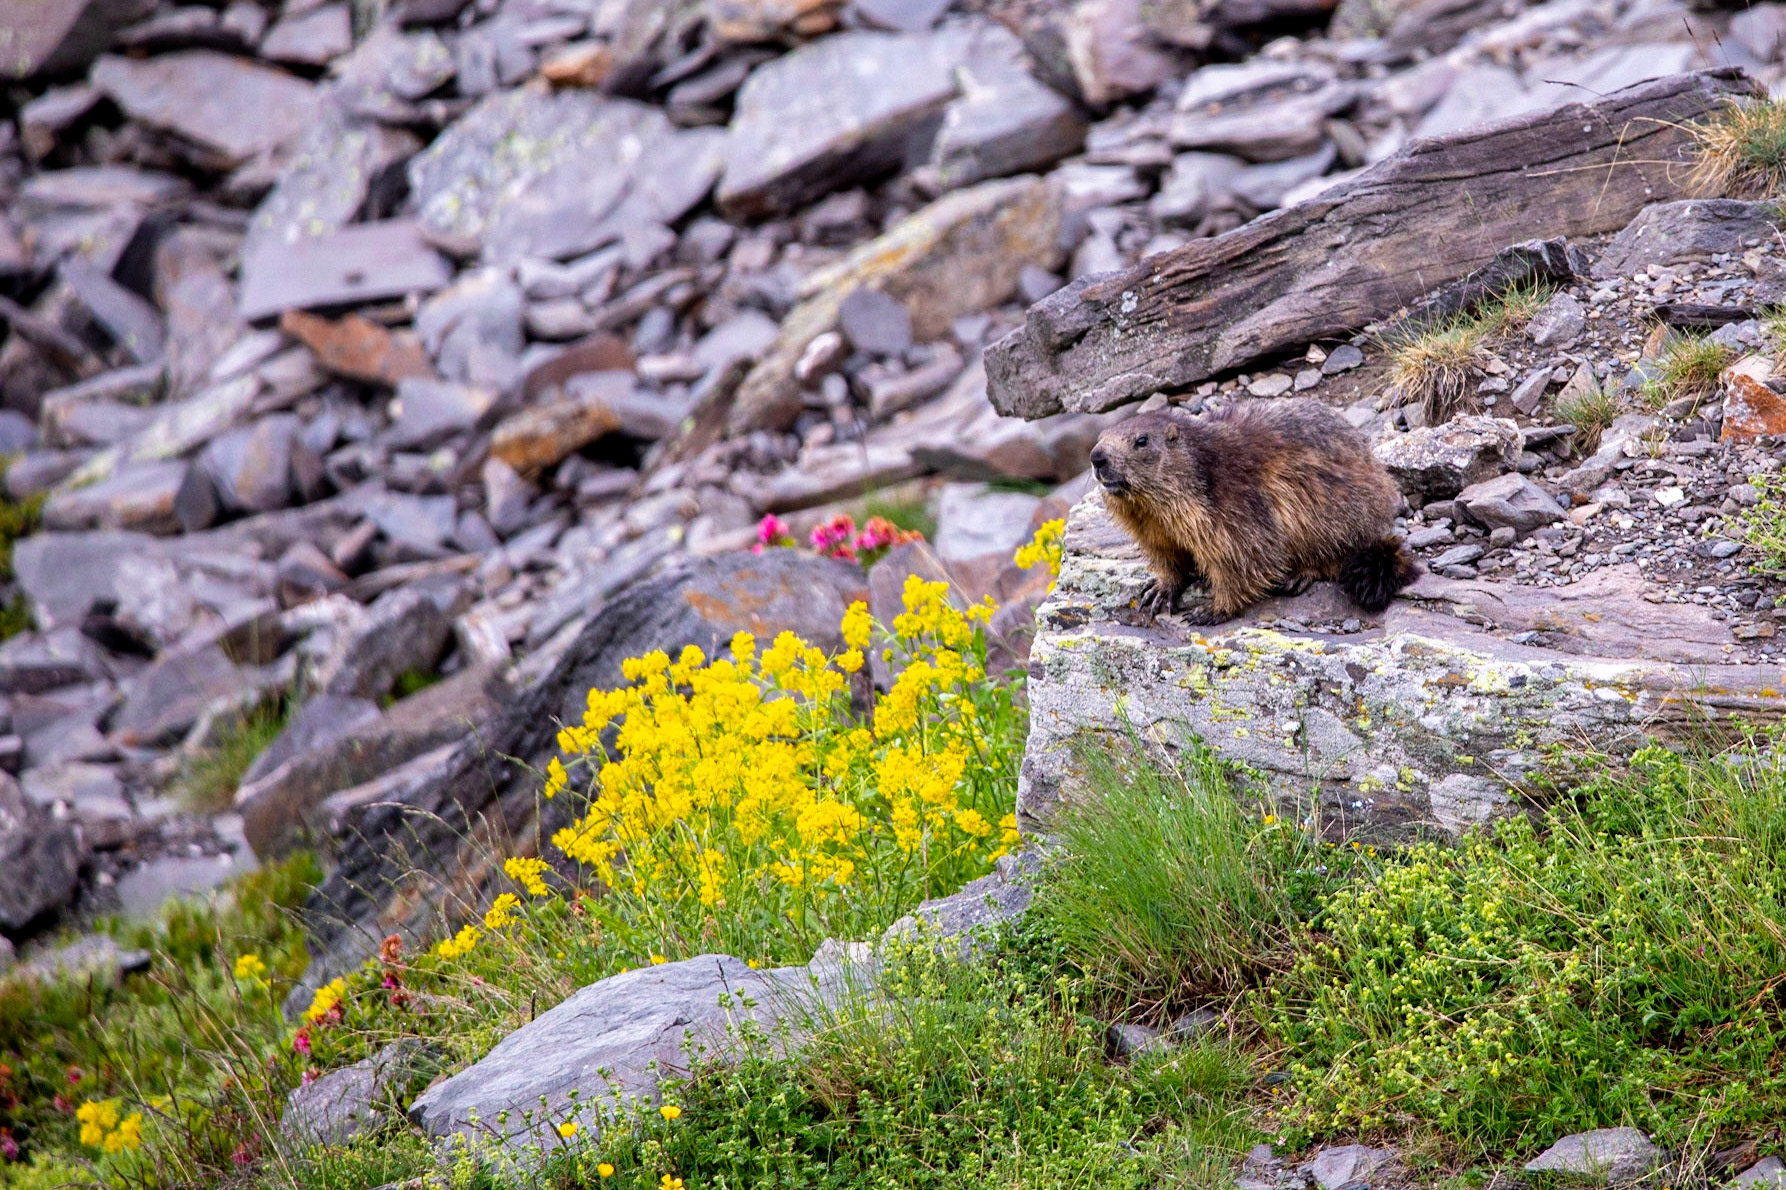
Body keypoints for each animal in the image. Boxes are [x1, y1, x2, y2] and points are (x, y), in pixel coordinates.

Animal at [1088, 399, 1420, 624]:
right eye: (1099, 437)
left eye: (1141, 441)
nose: (1096, 457)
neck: (1150, 507)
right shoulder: (1152, 527)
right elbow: (1164, 553)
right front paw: (1160, 589)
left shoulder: (1228, 508)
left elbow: (1243, 555)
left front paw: (1211, 610)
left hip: (1337, 508)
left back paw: (1302, 573)